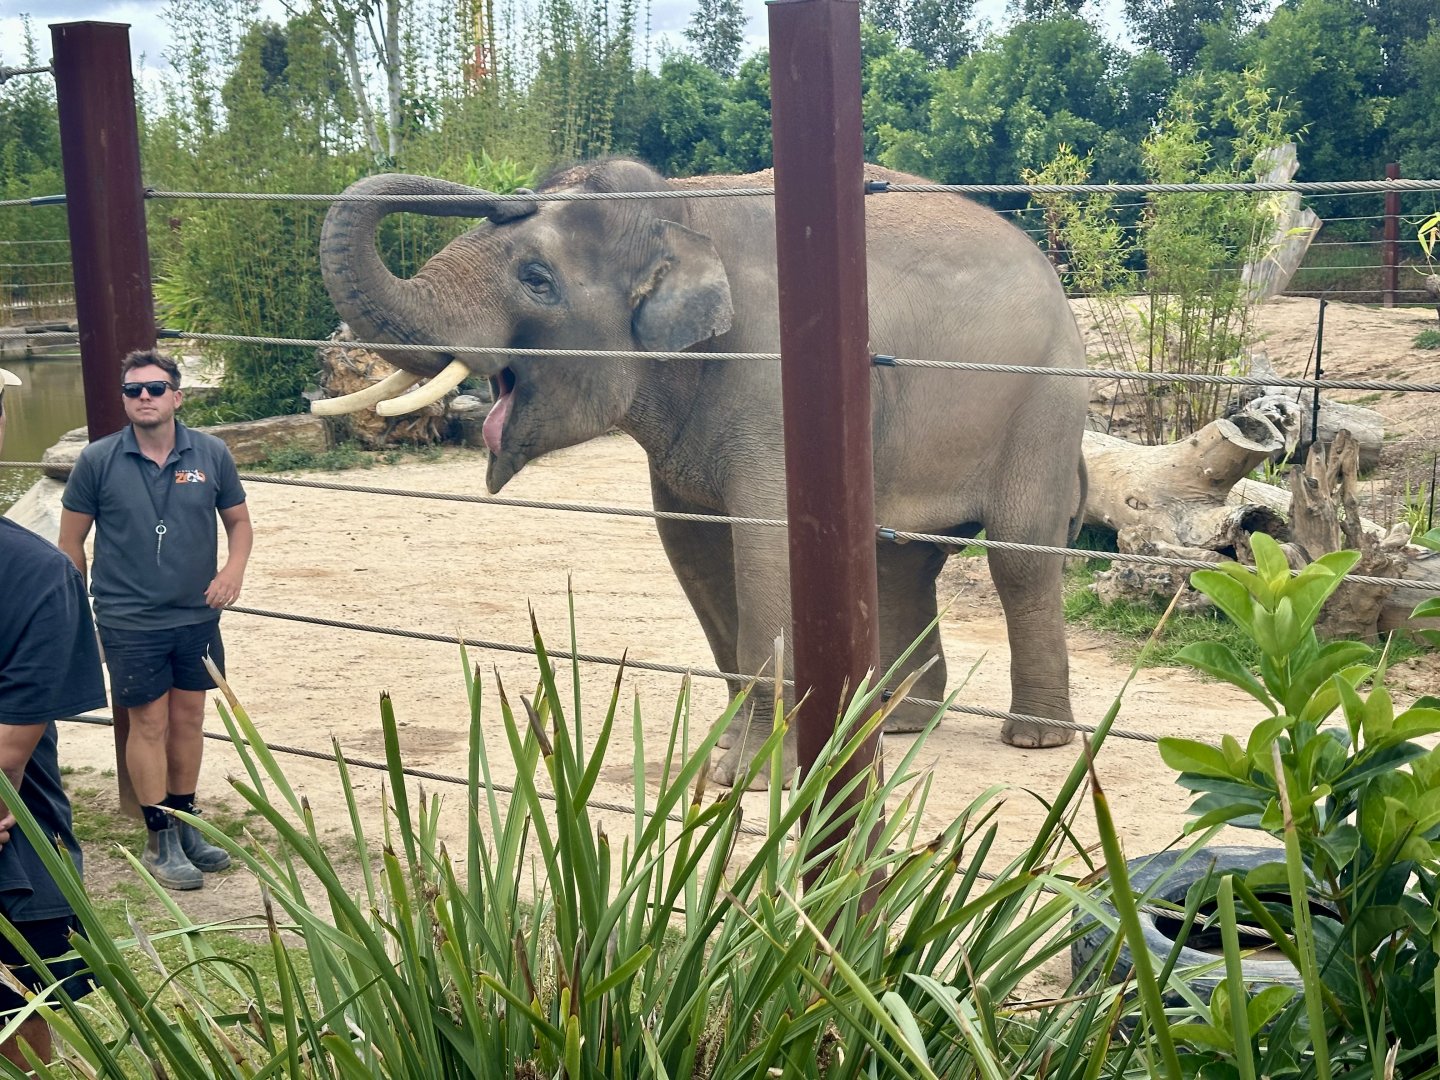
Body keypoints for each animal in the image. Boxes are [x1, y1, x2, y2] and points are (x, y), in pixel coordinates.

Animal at [318, 158, 1089, 786]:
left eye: (536, 280)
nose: (513, 195)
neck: (683, 205)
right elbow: (692, 547)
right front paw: (735, 760)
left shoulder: (775, 380)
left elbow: (766, 546)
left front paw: (749, 780)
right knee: (902, 560)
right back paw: (897, 725)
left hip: (1045, 402)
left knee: (1020, 557)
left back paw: (1034, 740)